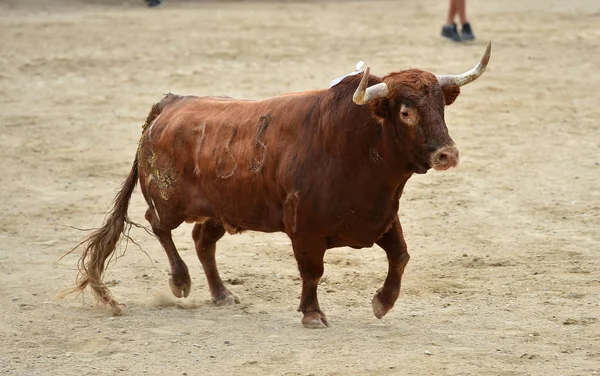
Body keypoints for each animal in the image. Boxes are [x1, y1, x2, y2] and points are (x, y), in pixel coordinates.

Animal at [63, 42, 490, 328]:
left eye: (441, 106)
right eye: (405, 112)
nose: (447, 154)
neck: (352, 148)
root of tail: (170, 103)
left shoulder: (380, 218)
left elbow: (400, 256)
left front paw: (383, 303)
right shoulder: (305, 229)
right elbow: (313, 271)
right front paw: (313, 314)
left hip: (224, 208)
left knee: (202, 241)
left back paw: (221, 294)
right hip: (170, 202)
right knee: (158, 224)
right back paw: (181, 282)